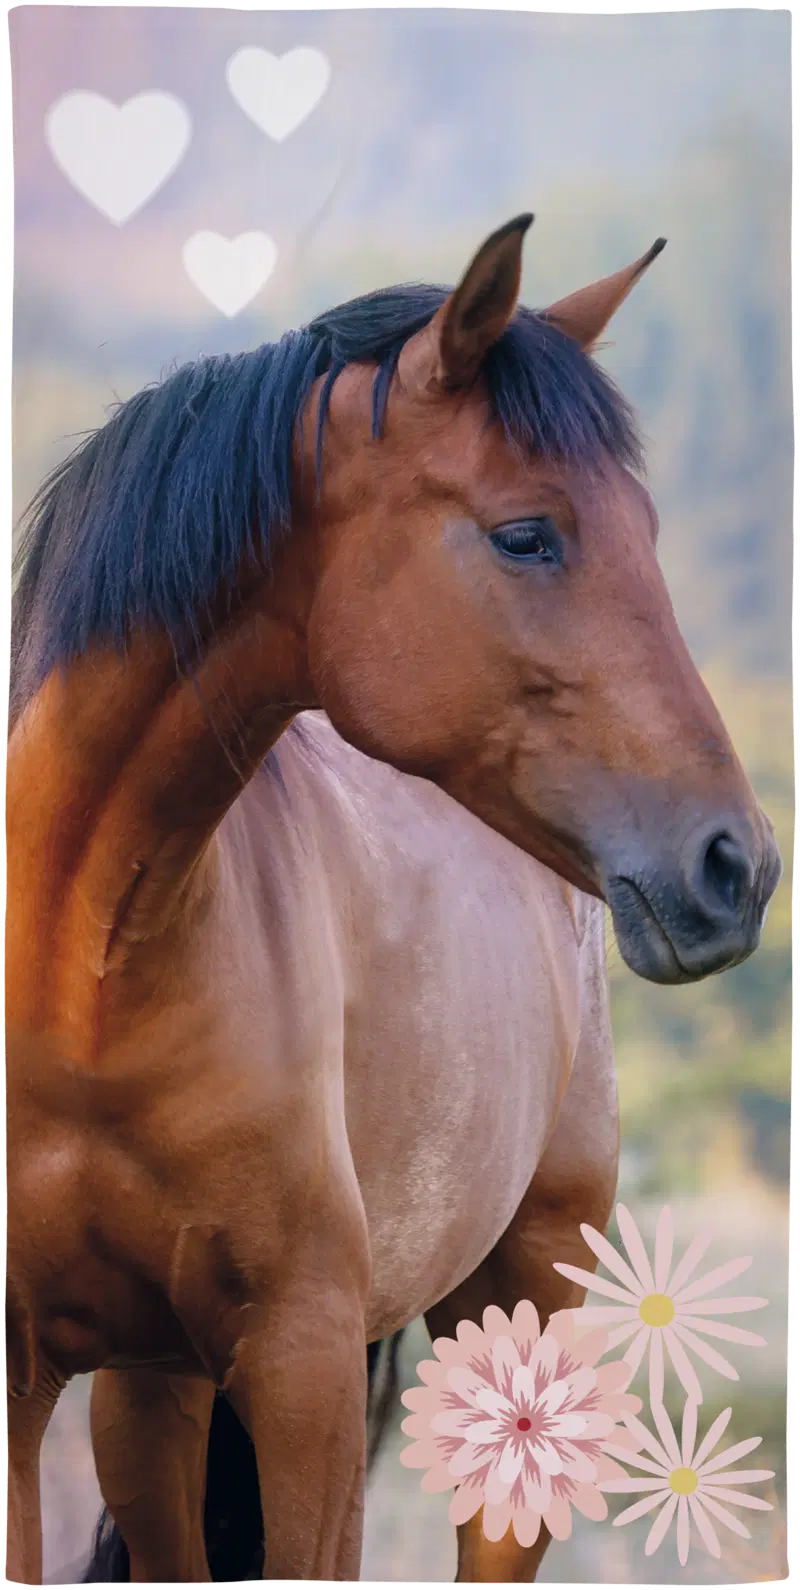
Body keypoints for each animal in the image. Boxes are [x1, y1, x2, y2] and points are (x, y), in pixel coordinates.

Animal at [7, 214, 780, 1586]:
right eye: (526, 535)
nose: (732, 867)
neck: (81, 973)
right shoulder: (29, 1384)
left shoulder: (303, 1370)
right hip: (152, 1394)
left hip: (518, 1307)